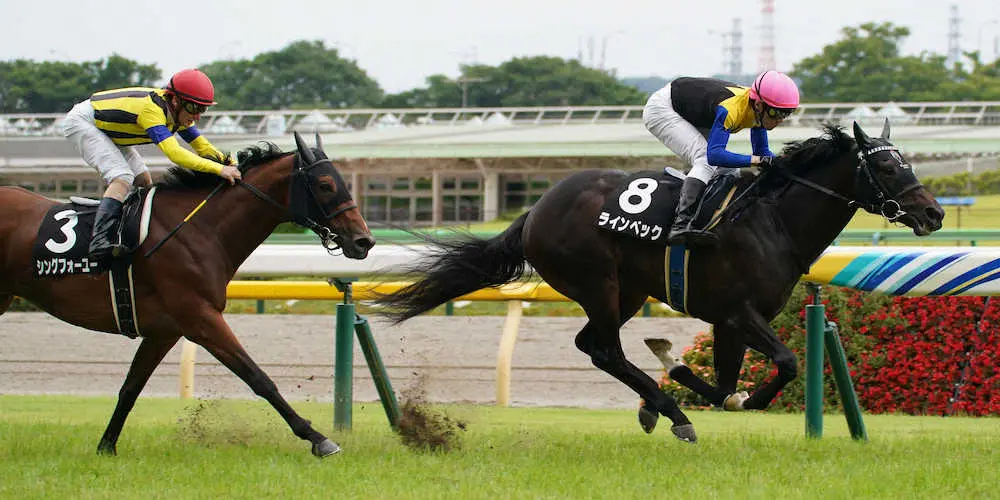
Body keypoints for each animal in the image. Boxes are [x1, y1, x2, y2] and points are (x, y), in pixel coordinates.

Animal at [0, 132, 374, 458]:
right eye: (325, 185)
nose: (364, 241)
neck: (199, 229)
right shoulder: (200, 317)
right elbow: (259, 378)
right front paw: (319, 439)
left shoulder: (164, 330)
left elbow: (130, 387)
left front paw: (106, 446)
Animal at [376, 121, 944, 442]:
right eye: (888, 169)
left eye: (906, 164)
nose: (934, 214)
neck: (771, 221)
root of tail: (536, 209)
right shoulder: (738, 312)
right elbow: (783, 363)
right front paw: (711, 389)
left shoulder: (730, 320)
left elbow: (725, 384)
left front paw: (684, 374)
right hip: (599, 282)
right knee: (605, 350)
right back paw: (671, 412)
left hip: (627, 290)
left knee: (593, 346)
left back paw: (657, 403)